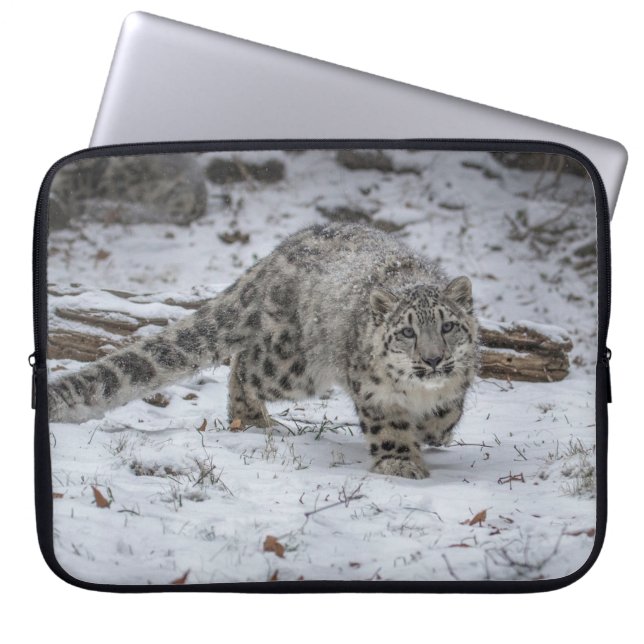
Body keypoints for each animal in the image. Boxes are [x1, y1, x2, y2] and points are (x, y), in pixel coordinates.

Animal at [48, 222, 479, 479]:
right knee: (244, 366)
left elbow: (448, 414)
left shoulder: (458, 383)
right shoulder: (375, 392)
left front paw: (431, 431)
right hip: (294, 367)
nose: (433, 359)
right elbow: (389, 427)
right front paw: (401, 463)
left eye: (447, 326)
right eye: (407, 331)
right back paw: (253, 419)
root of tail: (277, 254)